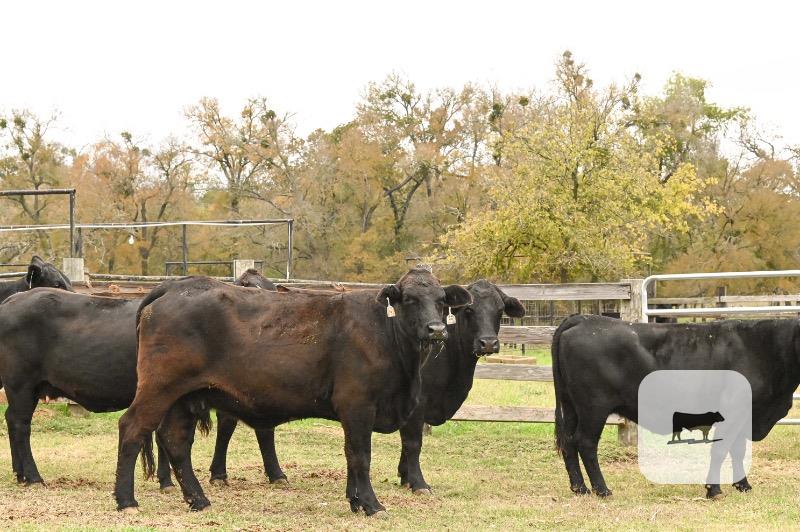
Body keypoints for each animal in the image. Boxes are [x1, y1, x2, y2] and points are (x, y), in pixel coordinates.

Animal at [0, 268, 267, 488]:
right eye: (252, 288)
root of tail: (12, 300)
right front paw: (169, 480)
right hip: (21, 384)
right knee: (20, 424)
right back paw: (33, 476)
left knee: (12, 419)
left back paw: (20, 474)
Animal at [113, 268, 472, 516]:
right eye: (409, 299)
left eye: (442, 302)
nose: (436, 330)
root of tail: (175, 285)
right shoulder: (357, 405)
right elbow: (361, 455)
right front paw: (371, 504)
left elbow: (350, 455)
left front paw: (355, 500)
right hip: (159, 389)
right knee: (132, 429)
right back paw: (126, 500)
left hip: (184, 397)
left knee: (176, 442)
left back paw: (198, 500)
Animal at [206, 280, 527, 493]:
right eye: (468, 310)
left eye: (500, 310)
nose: (488, 343)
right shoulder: (416, 403)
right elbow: (413, 443)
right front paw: (417, 482)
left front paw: (404, 475)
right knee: (233, 425)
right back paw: (223, 474)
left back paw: (267, 474)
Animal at [553, 314, 799, 500]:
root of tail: (583, 319)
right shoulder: (733, 410)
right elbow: (721, 450)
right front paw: (714, 490)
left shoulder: (745, 414)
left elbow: (736, 450)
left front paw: (743, 486)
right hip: (594, 407)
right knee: (585, 443)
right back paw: (602, 490)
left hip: (571, 406)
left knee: (569, 442)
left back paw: (580, 488)